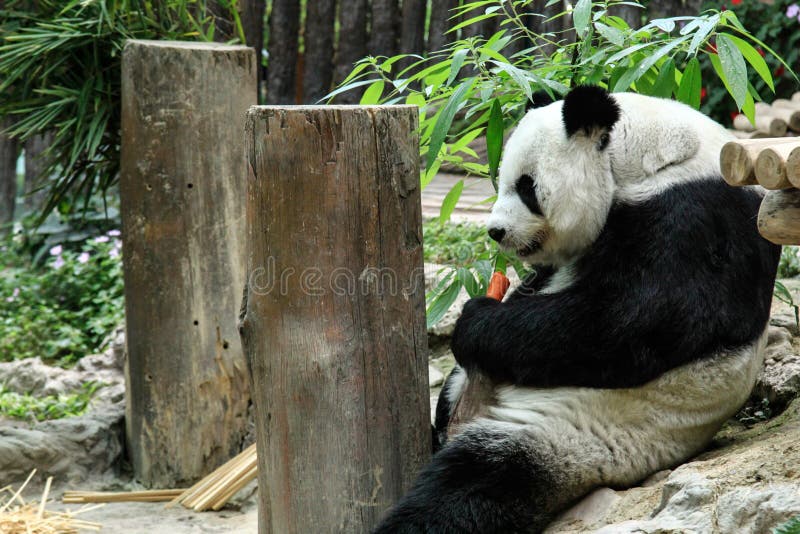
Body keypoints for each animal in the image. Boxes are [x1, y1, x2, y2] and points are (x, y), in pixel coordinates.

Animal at [376, 86, 780, 532]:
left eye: (526, 187)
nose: (496, 231)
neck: (651, 157)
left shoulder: (695, 217)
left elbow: (631, 321)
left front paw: (475, 319)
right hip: (476, 394)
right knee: (453, 401)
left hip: (571, 433)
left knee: (471, 485)